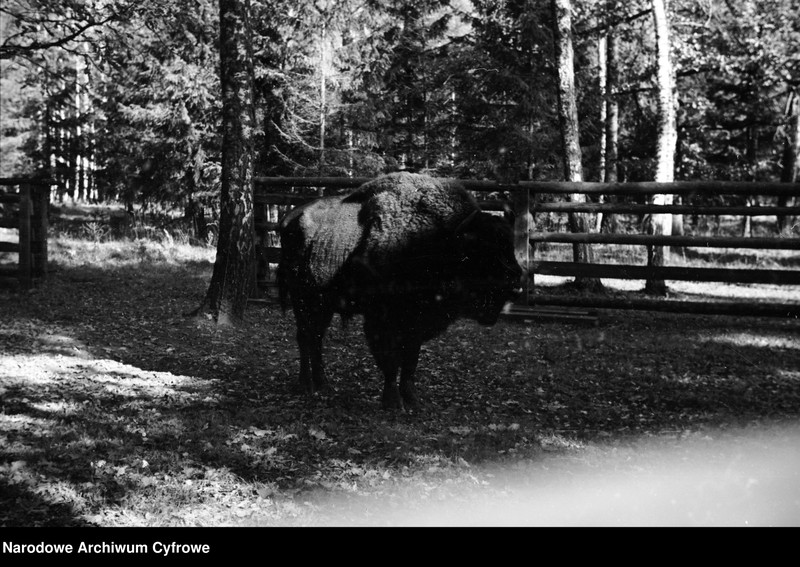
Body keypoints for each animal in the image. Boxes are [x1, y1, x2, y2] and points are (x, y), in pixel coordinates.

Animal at [276, 171, 524, 410]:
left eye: (509, 244)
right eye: (482, 249)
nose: (514, 279)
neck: (440, 241)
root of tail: (289, 219)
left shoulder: (415, 324)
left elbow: (410, 360)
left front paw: (413, 400)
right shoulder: (382, 321)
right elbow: (391, 361)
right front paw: (394, 403)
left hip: (322, 304)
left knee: (316, 336)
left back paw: (324, 384)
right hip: (302, 300)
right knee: (305, 336)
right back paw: (306, 385)